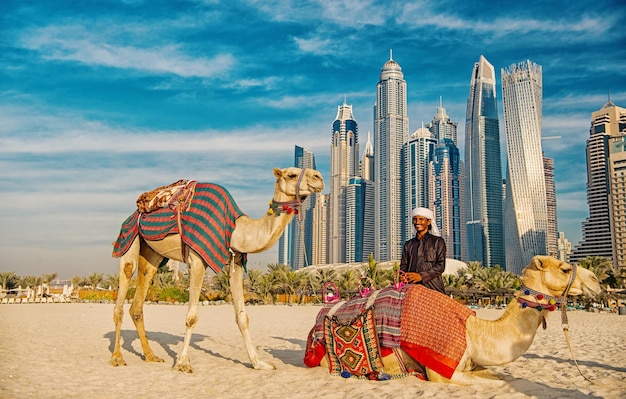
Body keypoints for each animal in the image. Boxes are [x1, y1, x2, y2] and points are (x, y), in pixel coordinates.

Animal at [111, 166, 322, 372]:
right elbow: (191, 317)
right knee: (126, 277)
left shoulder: (235, 262)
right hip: (130, 236)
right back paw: (117, 358)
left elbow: (242, 317)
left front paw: (259, 363)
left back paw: (151, 355)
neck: (237, 230)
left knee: (139, 298)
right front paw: (183, 363)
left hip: (152, 254)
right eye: (292, 174)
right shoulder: (197, 260)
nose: (319, 177)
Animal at [304, 258, 596, 386]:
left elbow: (502, 377)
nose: (595, 280)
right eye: (564, 269)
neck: (474, 333)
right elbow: (491, 384)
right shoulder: (440, 369)